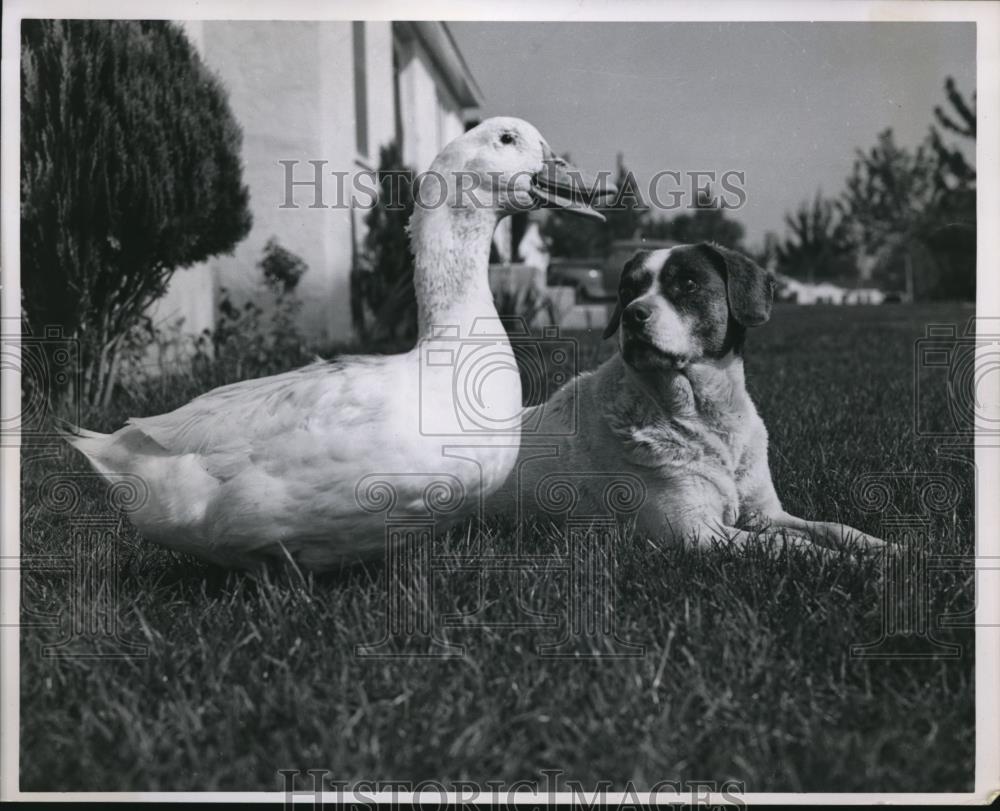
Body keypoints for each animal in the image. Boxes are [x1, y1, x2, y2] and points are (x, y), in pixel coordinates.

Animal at [492, 244, 884, 556]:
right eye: (627, 289)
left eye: (689, 284)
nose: (632, 314)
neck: (705, 414)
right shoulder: (694, 531)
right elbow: (788, 543)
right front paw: (848, 562)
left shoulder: (765, 513)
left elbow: (834, 528)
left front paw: (886, 549)